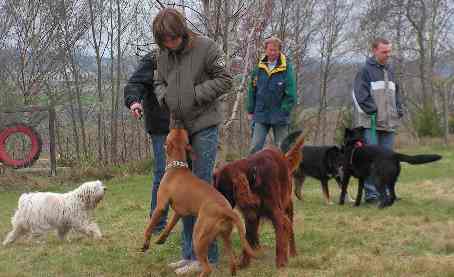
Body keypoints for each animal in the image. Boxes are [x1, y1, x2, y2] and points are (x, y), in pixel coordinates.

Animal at [141, 126, 255, 274]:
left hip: (199, 237)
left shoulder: (160, 206)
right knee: (232, 262)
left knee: (207, 268)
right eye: (181, 132)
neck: (177, 167)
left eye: (172, 132)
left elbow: (149, 227)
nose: (178, 124)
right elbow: (169, 226)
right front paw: (161, 239)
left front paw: (145, 243)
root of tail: (226, 210)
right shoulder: (179, 212)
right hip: (224, 236)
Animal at [214, 134, 306, 268]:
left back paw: (293, 253)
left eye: (224, 189)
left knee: (290, 227)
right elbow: (247, 238)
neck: (254, 176)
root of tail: (283, 157)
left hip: (287, 206)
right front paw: (244, 262)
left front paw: (280, 263)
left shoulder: (276, 213)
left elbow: (280, 238)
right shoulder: (250, 216)